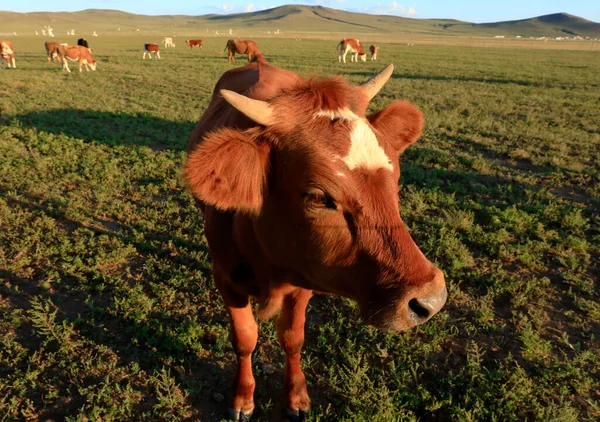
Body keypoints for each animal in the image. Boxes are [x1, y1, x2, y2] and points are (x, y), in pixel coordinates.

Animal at [185, 54, 448, 420]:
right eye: (319, 197)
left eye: (394, 174)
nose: (430, 299)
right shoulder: (226, 278)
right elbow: (245, 338)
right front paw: (243, 397)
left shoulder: (305, 276)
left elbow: (292, 337)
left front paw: (297, 396)